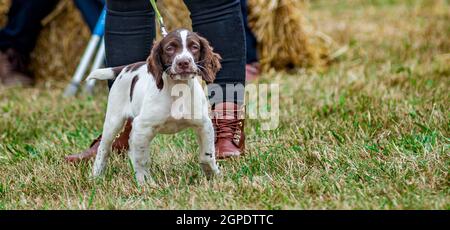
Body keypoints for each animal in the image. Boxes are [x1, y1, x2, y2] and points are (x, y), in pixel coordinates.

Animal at [87, 28, 222, 184]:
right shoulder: (143, 126)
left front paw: (213, 175)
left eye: (194, 47)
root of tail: (126, 67)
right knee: (104, 148)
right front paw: (146, 183)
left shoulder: (204, 124)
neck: (178, 89)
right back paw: (96, 175)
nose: (183, 62)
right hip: (114, 121)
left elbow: (207, 155)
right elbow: (142, 159)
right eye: (169, 48)